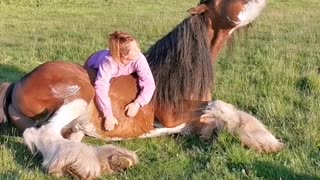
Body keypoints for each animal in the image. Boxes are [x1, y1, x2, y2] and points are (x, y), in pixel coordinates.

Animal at [0, 0, 282, 179]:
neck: (174, 75)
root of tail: (16, 85)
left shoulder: (194, 122)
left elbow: (230, 116)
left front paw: (265, 142)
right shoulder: (175, 116)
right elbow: (222, 106)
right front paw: (267, 141)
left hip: (76, 123)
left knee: (63, 139)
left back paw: (110, 160)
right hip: (79, 94)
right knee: (41, 135)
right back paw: (88, 166)